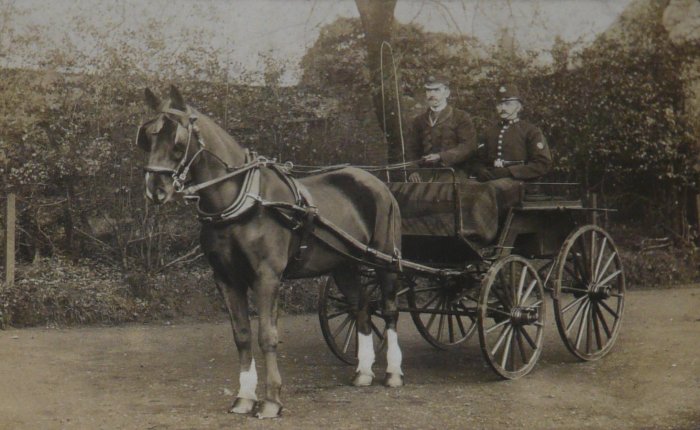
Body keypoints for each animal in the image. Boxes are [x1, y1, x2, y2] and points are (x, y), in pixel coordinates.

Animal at [137, 85, 404, 418]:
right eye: (147, 137)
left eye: (178, 140)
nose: (155, 189)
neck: (242, 202)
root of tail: (376, 182)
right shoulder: (226, 279)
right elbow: (241, 336)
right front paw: (244, 397)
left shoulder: (267, 277)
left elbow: (267, 336)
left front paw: (271, 400)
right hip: (345, 265)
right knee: (361, 307)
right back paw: (364, 372)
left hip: (385, 261)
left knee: (390, 310)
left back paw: (392, 373)